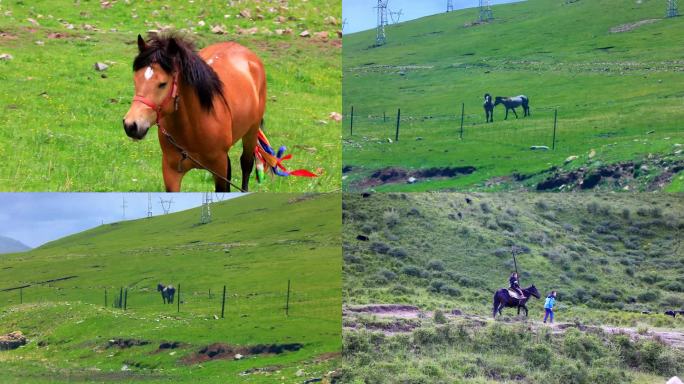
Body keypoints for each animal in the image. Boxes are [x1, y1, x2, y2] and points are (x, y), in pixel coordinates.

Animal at [122, 33, 264, 192]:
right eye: (136, 80)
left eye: (163, 84)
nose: (131, 125)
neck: (194, 126)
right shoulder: (171, 172)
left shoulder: (219, 169)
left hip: (251, 131)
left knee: (246, 164)